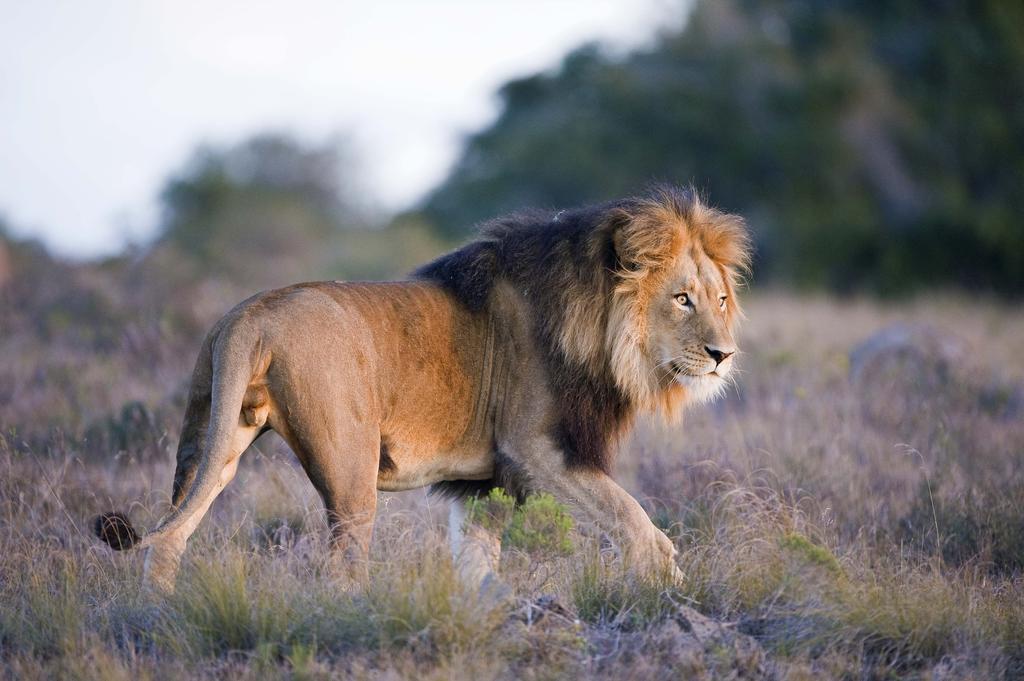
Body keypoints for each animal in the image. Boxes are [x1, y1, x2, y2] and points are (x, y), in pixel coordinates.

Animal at [94, 184, 753, 589]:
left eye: (721, 299)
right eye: (682, 298)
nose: (722, 355)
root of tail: (250, 314)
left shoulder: (484, 483)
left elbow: (479, 566)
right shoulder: (537, 449)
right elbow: (639, 525)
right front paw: (665, 596)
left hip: (214, 438)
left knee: (170, 535)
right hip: (351, 466)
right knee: (342, 566)